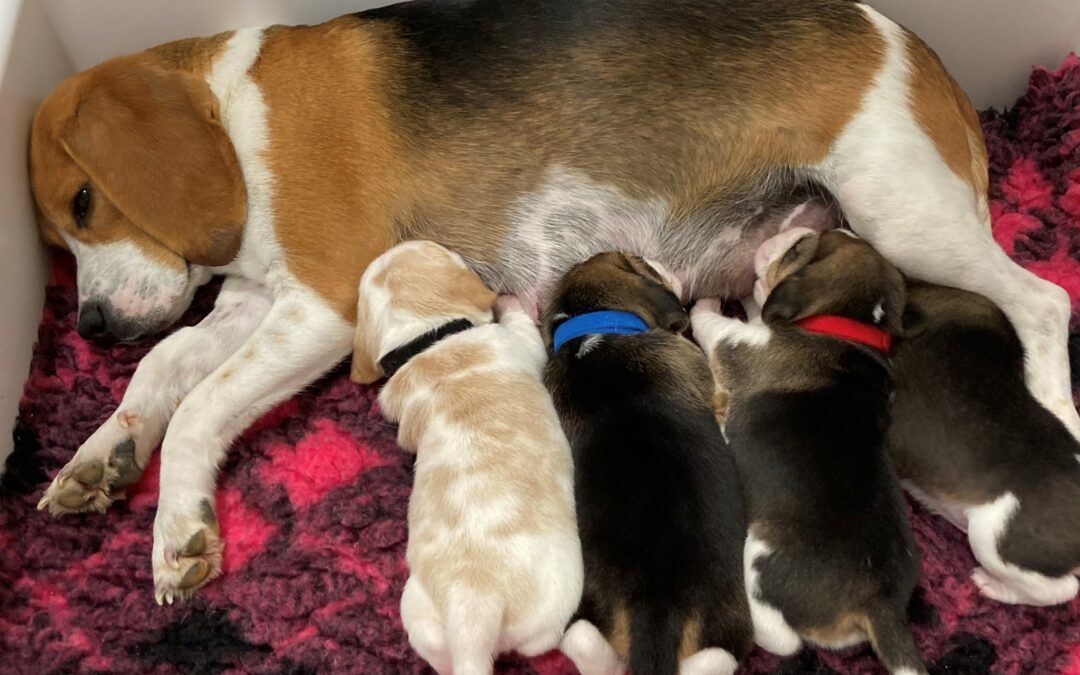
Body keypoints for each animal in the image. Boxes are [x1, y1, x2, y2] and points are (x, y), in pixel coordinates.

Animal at [352, 239, 583, 673]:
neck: (427, 338)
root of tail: (474, 605)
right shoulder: (516, 343)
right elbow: (520, 326)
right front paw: (511, 299)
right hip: (553, 608)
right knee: (539, 644)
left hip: (418, 615)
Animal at [540, 251, 751, 673]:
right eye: (641, 264)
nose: (662, 262)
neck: (590, 335)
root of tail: (656, 609)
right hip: (730, 628)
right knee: (715, 658)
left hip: (583, 620)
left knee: (584, 642)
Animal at [686, 230, 924, 673]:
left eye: (798, 250)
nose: (784, 235)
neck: (846, 327)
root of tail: (880, 603)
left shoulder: (736, 341)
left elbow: (714, 321)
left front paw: (708, 299)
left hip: (759, 560)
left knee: (784, 641)